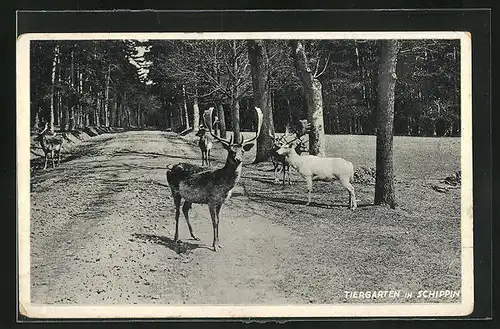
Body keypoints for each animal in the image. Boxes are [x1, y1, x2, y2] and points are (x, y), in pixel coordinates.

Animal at [166, 106, 264, 250]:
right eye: (231, 151)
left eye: (242, 151)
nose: (238, 159)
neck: (224, 186)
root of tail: (170, 168)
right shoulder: (211, 201)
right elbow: (214, 222)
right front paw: (214, 246)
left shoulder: (221, 202)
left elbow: (219, 220)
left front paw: (218, 243)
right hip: (175, 191)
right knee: (177, 212)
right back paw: (176, 238)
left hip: (190, 196)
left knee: (185, 209)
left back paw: (194, 235)